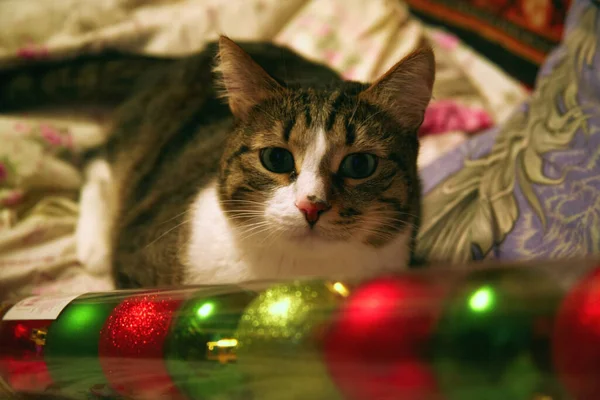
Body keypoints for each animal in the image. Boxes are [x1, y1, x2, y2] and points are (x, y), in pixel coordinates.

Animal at [0, 36, 434, 286]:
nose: (311, 206)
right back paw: (94, 247)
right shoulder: (137, 256)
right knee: (97, 159)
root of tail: (184, 57)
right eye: (276, 158)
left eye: (359, 166)